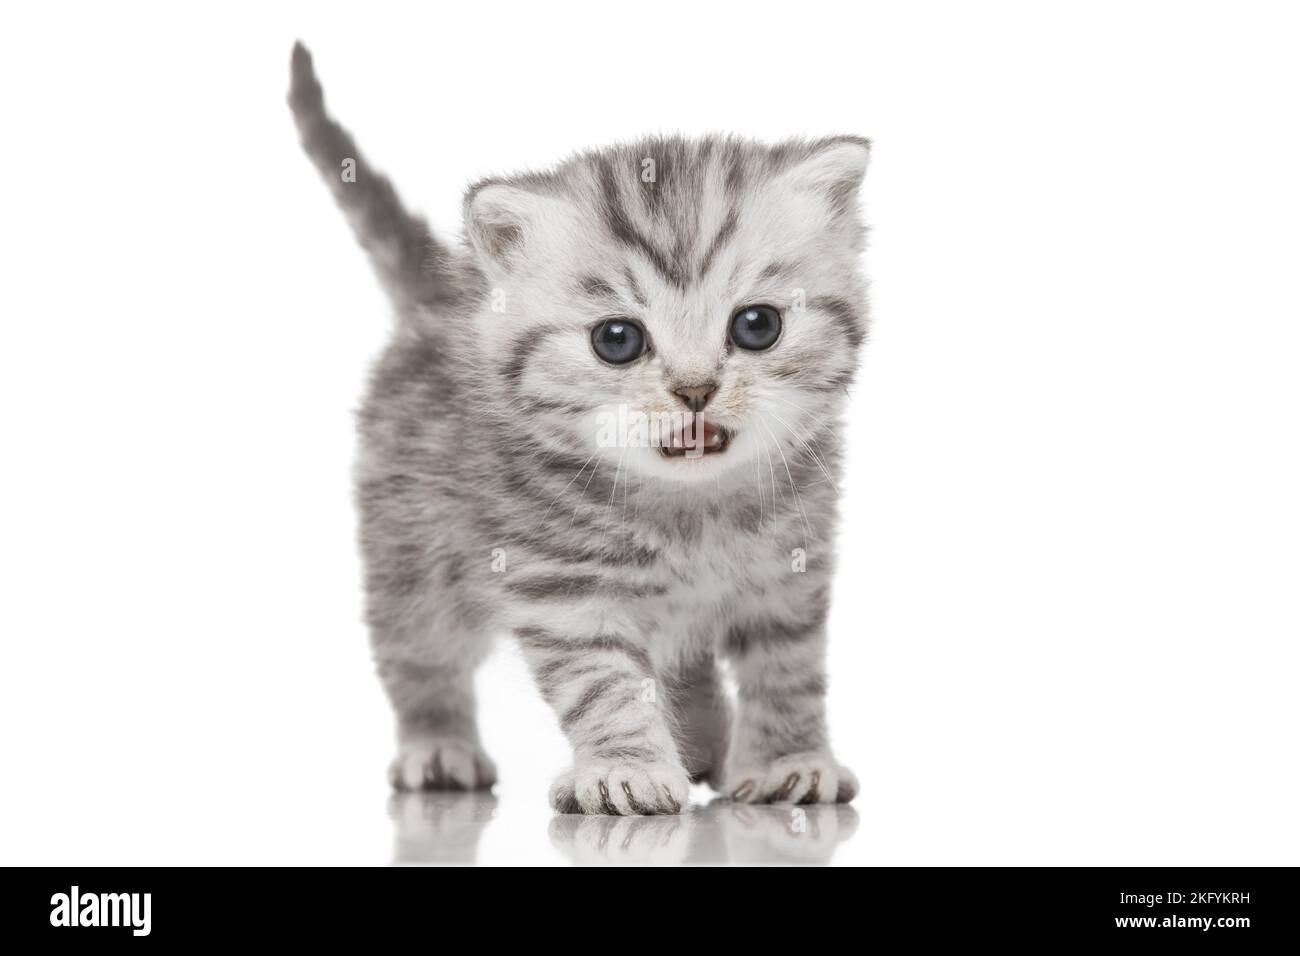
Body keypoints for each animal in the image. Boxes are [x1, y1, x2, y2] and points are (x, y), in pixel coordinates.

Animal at [289, 44, 868, 816]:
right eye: (617, 340)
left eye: (757, 325)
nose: (695, 390)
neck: (691, 511)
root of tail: (444, 291)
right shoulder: (564, 586)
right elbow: (605, 683)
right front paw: (626, 767)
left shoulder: (790, 574)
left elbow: (789, 672)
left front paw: (788, 760)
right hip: (411, 552)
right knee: (419, 653)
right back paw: (438, 745)